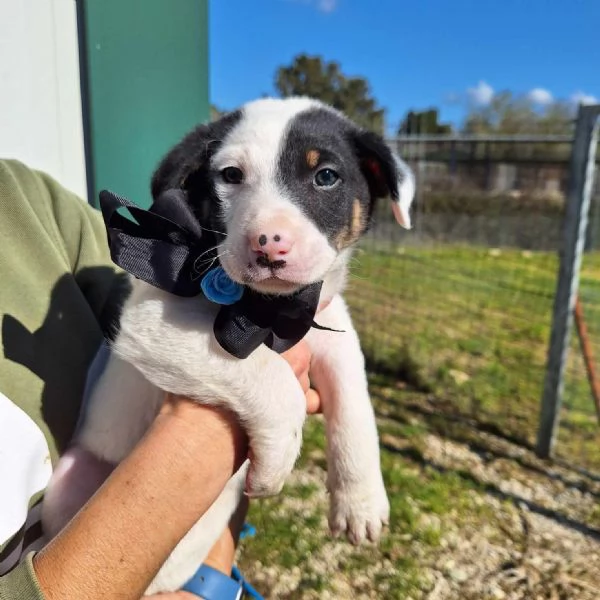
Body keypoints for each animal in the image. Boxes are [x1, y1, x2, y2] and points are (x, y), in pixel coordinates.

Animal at [41, 96, 412, 592]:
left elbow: (356, 408)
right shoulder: (153, 327)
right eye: (231, 175)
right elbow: (273, 380)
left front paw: (361, 500)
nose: (269, 246)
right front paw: (277, 464)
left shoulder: (333, 330)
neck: (268, 313)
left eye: (326, 176)